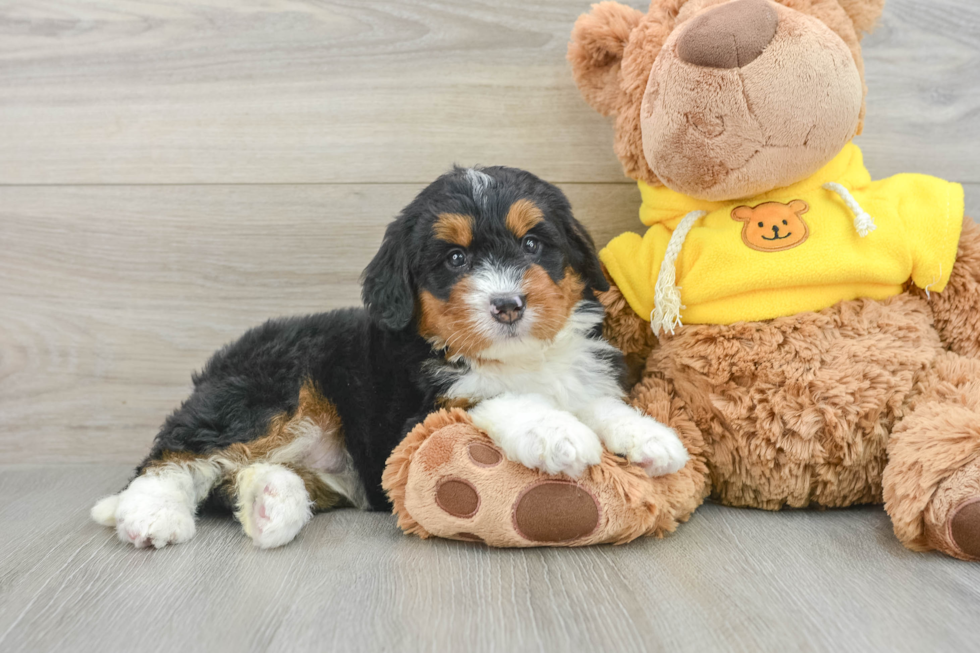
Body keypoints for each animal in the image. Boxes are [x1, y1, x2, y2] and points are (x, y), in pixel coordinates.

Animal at [92, 166, 688, 548]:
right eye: (455, 259)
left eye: (533, 245)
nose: (507, 305)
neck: (515, 355)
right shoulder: (415, 416)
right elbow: (498, 397)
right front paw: (557, 433)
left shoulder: (578, 372)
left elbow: (595, 401)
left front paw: (650, 437)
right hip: (267, 392)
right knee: (172, 458)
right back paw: (149, 516)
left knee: (231, 475)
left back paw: (270, 503)